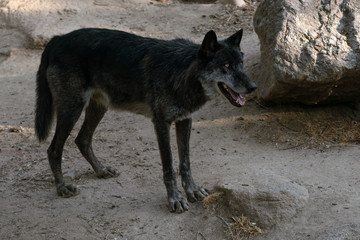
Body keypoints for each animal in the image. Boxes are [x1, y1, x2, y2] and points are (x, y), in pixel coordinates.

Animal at [35, 27, 258, 213]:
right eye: (226, 66)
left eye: (241, 64)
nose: (253, 87)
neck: (181, 72)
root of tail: (57, 39)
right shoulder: (161, 123)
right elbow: (169, 166)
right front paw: (175, 199)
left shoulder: (185, 120)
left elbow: (185, 163)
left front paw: (192, 191)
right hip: (72, 110)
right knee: (54, 149)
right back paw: (62, 187)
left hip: (98, 108)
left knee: (82, 139)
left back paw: (101, 170)